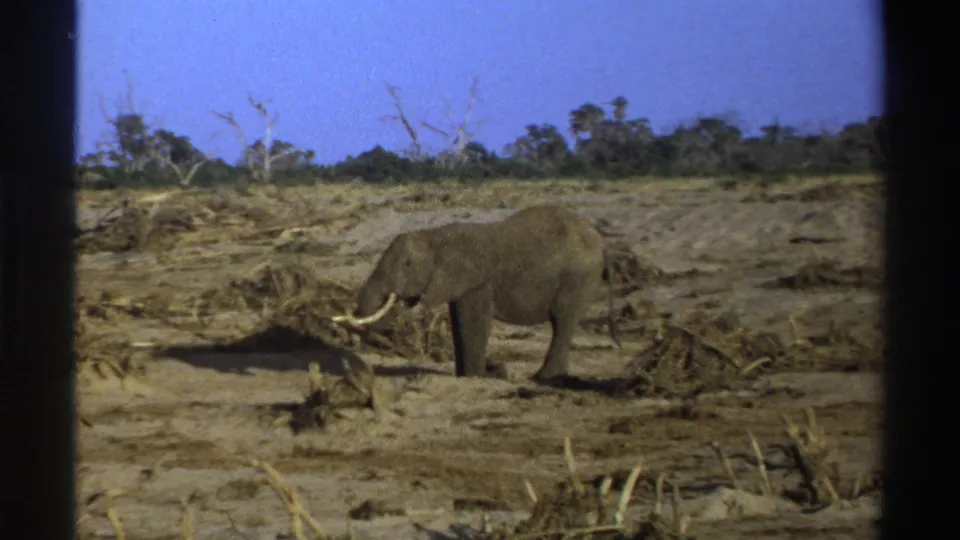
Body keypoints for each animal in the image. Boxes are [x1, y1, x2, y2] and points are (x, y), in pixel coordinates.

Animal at [332, 205, 621, 381]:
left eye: (408, 264)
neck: (436, 236)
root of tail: (603, 243)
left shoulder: (477, 280)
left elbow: (474, 322)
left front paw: (479, 376)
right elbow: (459, 321)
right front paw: (471, 376)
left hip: (579, 276)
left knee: (561, 318)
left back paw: (543, 378)